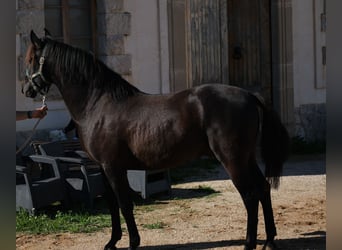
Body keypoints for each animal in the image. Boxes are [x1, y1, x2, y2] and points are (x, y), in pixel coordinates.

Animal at [22, 31, 288, 250]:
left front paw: (132, 243)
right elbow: (112, 204)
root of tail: (249, 95)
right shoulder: (102, 168)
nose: (26, 90)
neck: (98, 103)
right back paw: (269, 241)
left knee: (250, 196)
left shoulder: (113, 167)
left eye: (31, 59)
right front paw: (112, 242)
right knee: (263, 189)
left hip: (232, 160)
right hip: (247, 158)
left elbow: (125, 204)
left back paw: (249, 244)